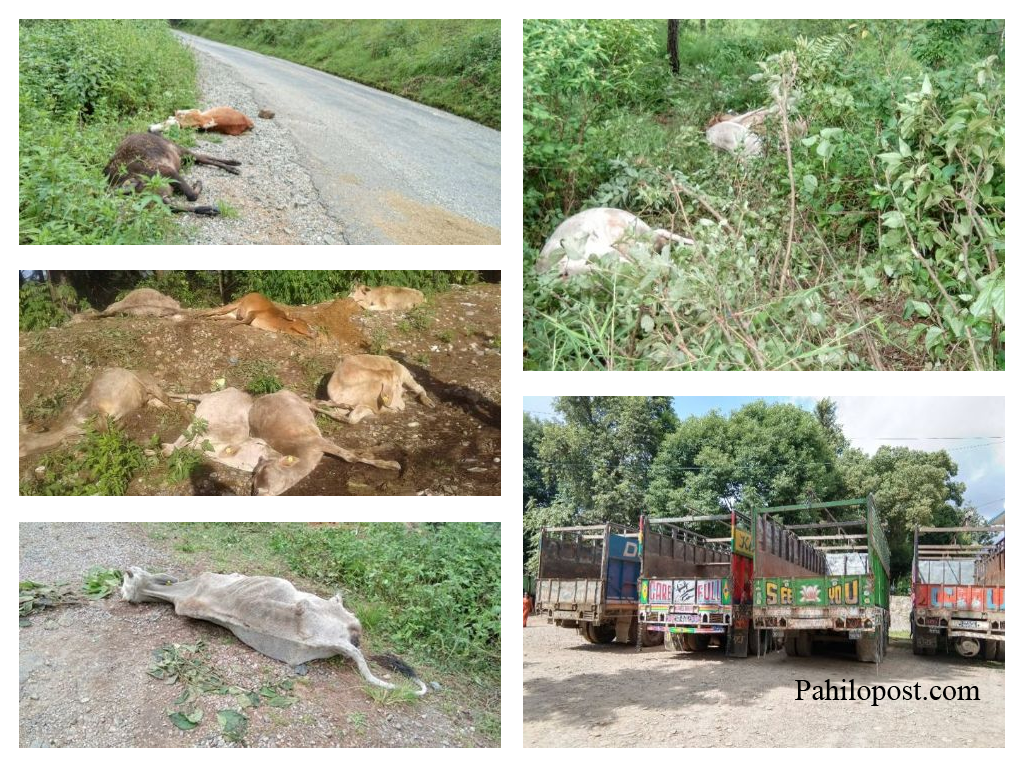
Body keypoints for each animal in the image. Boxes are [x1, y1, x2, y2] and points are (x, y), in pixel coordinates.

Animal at [104, 133, 240, 215]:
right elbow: (189, 197)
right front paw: (208, 207)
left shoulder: (167, 171)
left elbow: (190, 195)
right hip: (180, 157)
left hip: (180, 150)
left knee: (202, 157)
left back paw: (233, 164)